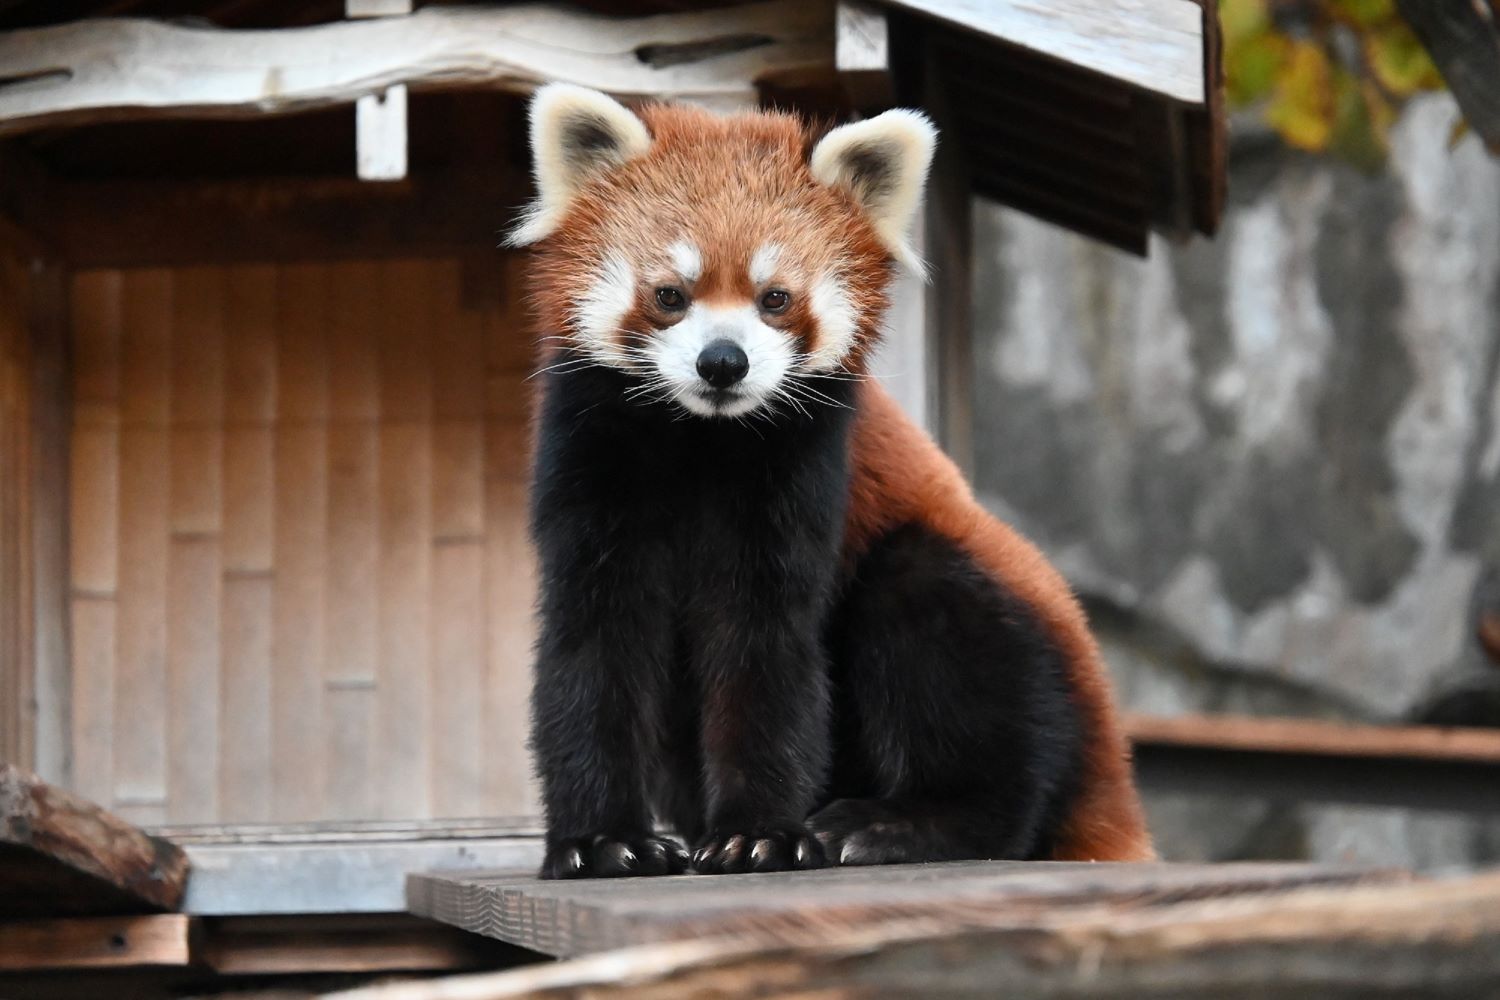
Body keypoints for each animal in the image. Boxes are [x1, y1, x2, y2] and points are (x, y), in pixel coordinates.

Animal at [513, 83, 1146, 875]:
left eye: (776, 298)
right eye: (669, 294)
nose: (723, 362)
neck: (701, 437)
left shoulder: (803, 467)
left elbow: (766, 641)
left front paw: (756, 833)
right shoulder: (590, 455)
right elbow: (594, 641)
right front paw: (605, 840)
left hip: (1009, 626)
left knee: (946, 643)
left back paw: (896, 824)